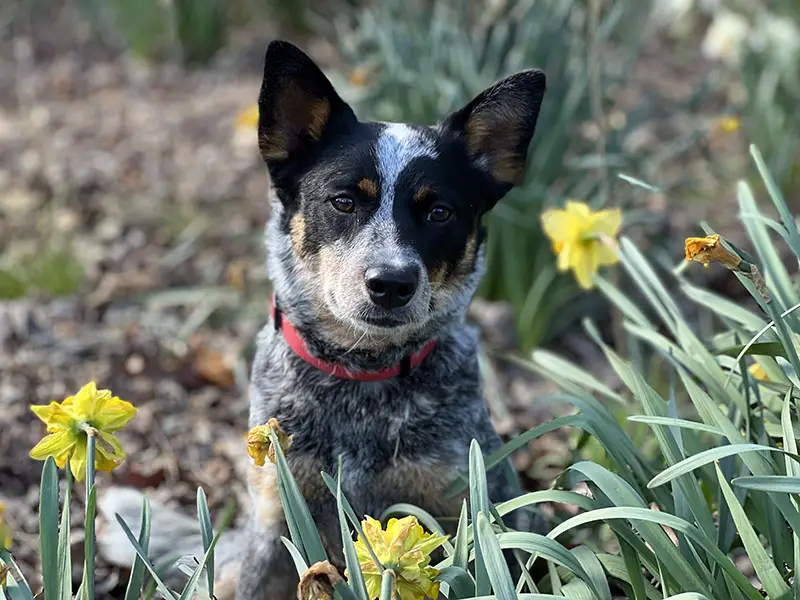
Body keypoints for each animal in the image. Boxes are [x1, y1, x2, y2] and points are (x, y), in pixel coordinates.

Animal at [98, 39, 544, 596]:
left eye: (439, 212)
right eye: (344, 201)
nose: (391, 283)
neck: (361, 379)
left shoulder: (460, 503)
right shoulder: (275, 520)